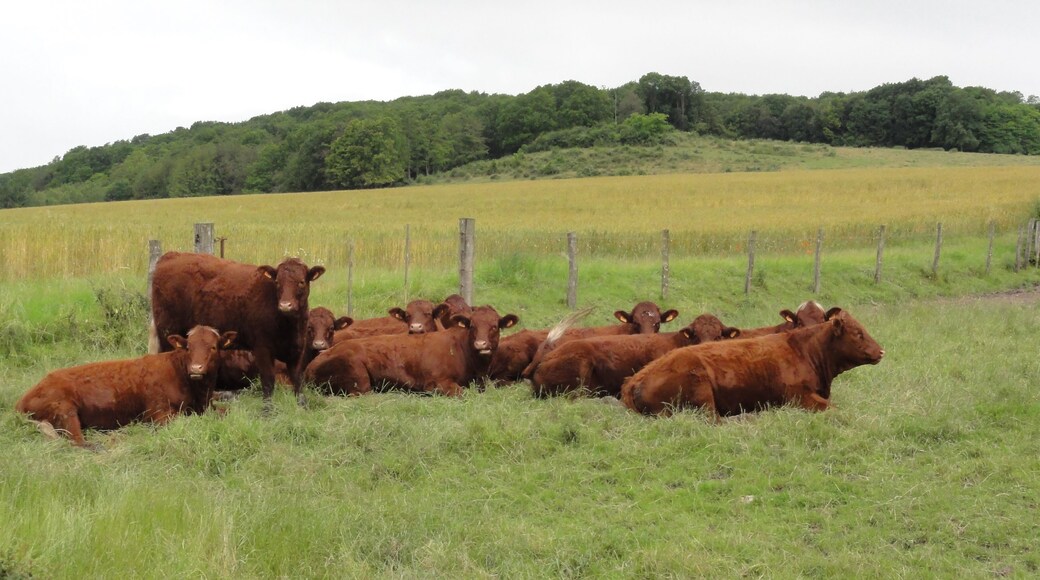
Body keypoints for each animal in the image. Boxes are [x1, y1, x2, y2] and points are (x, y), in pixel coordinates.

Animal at [16, 325, 236, 448]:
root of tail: (22, 400)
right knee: (77, 441)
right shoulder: (159, 414)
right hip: (65, 411)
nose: (196, 368)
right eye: (188, 347)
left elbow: (226, 411)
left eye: (213, 347)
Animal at [150, 251, 324, 407]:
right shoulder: (262, 349)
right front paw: (268, 411)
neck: (288, 325)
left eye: (301, 282)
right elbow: (268, 382)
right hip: (167, 332)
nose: (285, 305)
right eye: (277, 283)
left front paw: (302, 407)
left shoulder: (296, 350)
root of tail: (171, 255)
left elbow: (298, 382)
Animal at [621, 308, 884, 418]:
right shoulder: (799, 397)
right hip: (702, 392)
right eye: (858, 333)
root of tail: (635, 380)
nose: (881, 351)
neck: (804, 350)